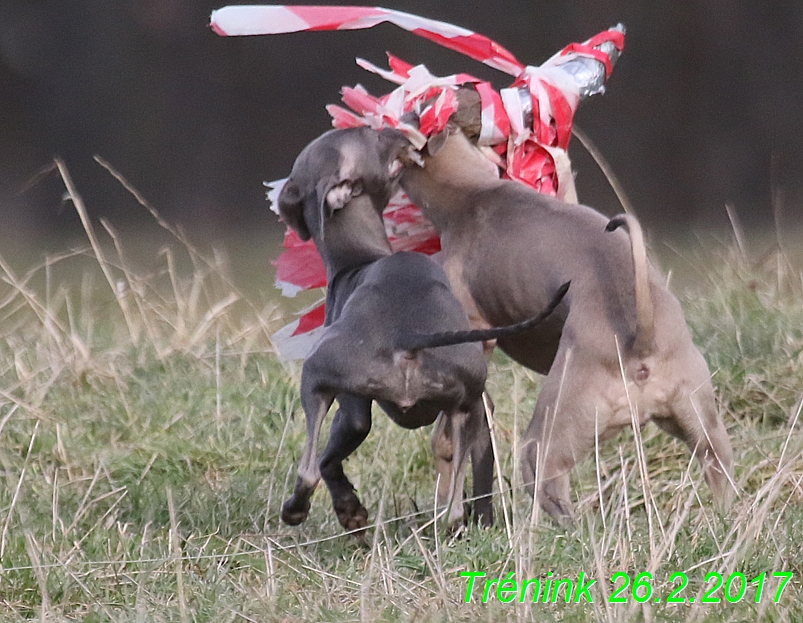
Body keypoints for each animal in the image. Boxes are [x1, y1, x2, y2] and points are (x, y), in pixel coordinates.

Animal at [276, 127, 564, 532]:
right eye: (370, 136)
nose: (397, 131)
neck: (361, 257)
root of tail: (407, 338)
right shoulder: (474, 410)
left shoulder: (350, 407)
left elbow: (328, 462)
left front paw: (349, 508)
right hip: (465, 406)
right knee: (455, 505)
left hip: (315, 376)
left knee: (309, 469)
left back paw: (299, 509)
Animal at [398, 118, 736, 528]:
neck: (473, 193)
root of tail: (641, 339)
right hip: (699, 418)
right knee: (717, 461)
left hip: (553, 428)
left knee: (547, 481)